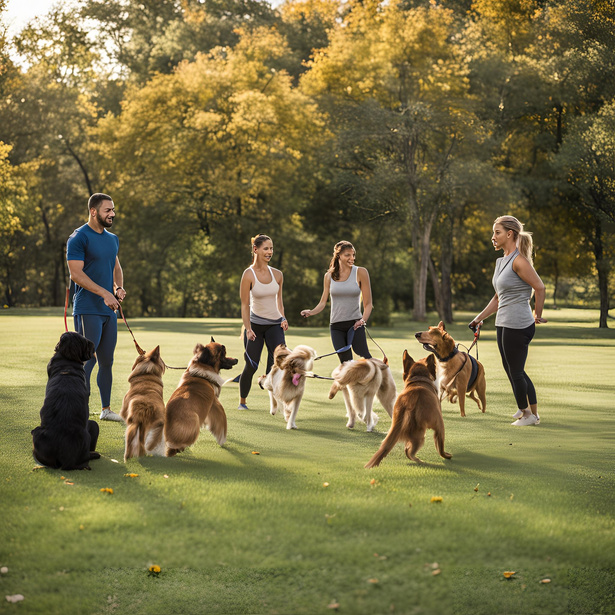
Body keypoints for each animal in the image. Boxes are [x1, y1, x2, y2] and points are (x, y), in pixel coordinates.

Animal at [32, 332, 101, 472]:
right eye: (83, 339)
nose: (92, 344)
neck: (67, 363)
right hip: (93, 426)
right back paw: (94, 454)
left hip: (37, 433)